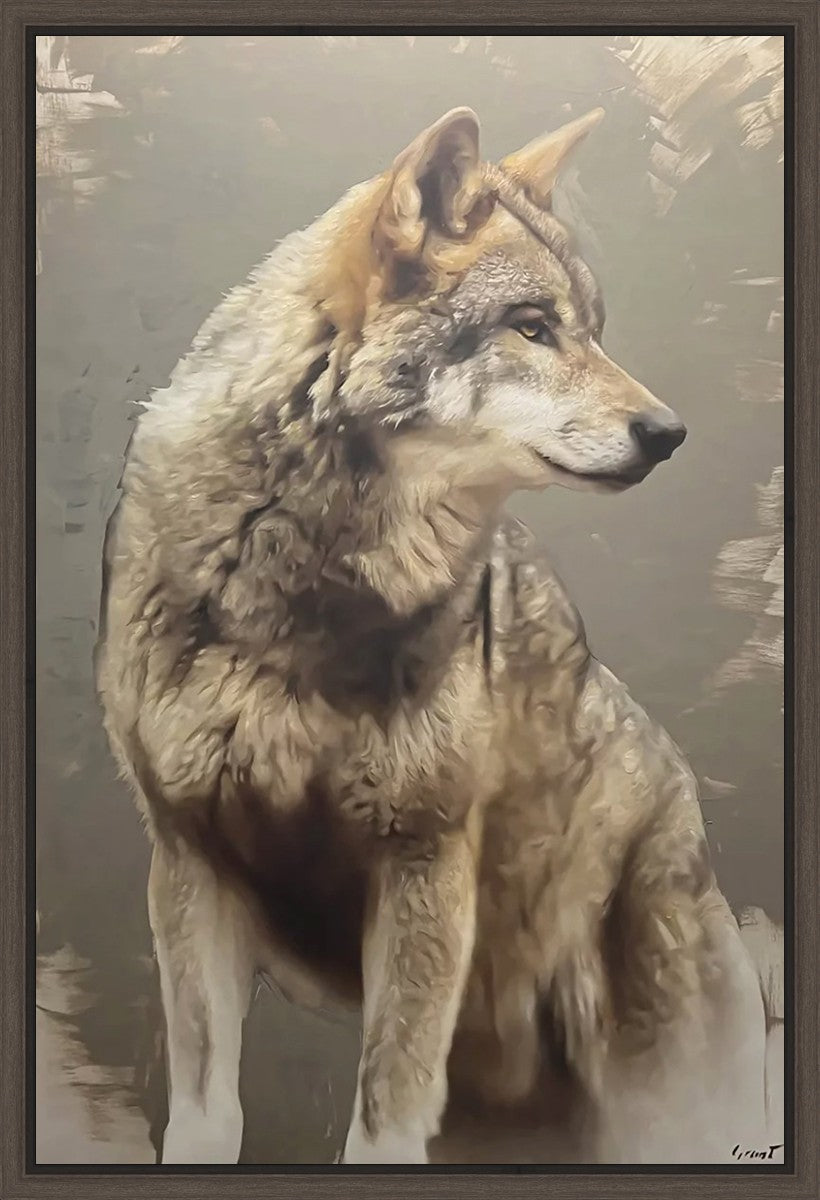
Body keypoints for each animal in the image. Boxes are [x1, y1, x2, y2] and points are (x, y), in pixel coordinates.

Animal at [96, 107, 778, 1165]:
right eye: (533, 327)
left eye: (593, 329)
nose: (670, 433)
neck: (298, 593)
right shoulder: (190, 864)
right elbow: (209, 1115)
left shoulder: (424, 867)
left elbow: (382, 1121)